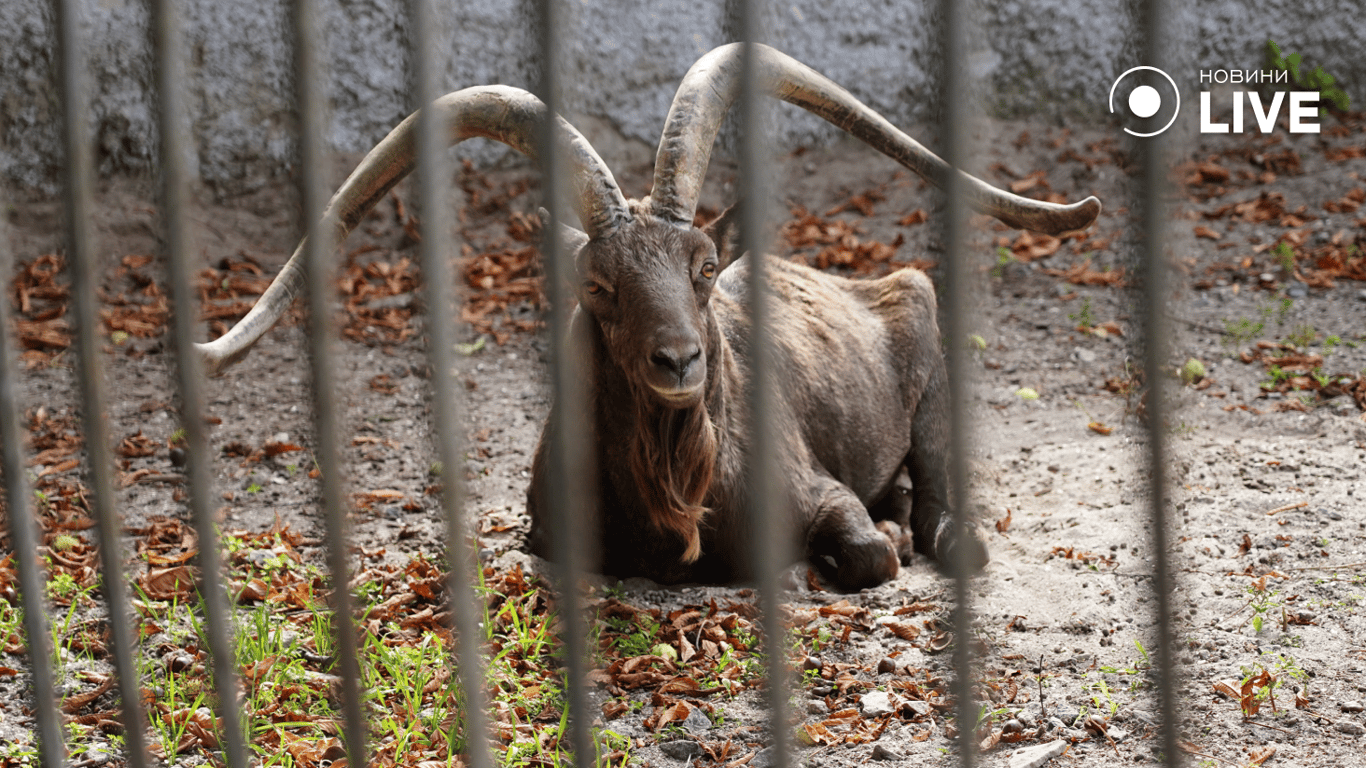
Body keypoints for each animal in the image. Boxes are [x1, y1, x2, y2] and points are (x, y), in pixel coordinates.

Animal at [199, 44, 1100, 591]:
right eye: (598, 286)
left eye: (703, 268)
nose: (678, 362)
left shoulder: (818, 491)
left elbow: (872, 552)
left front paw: (889, 538)